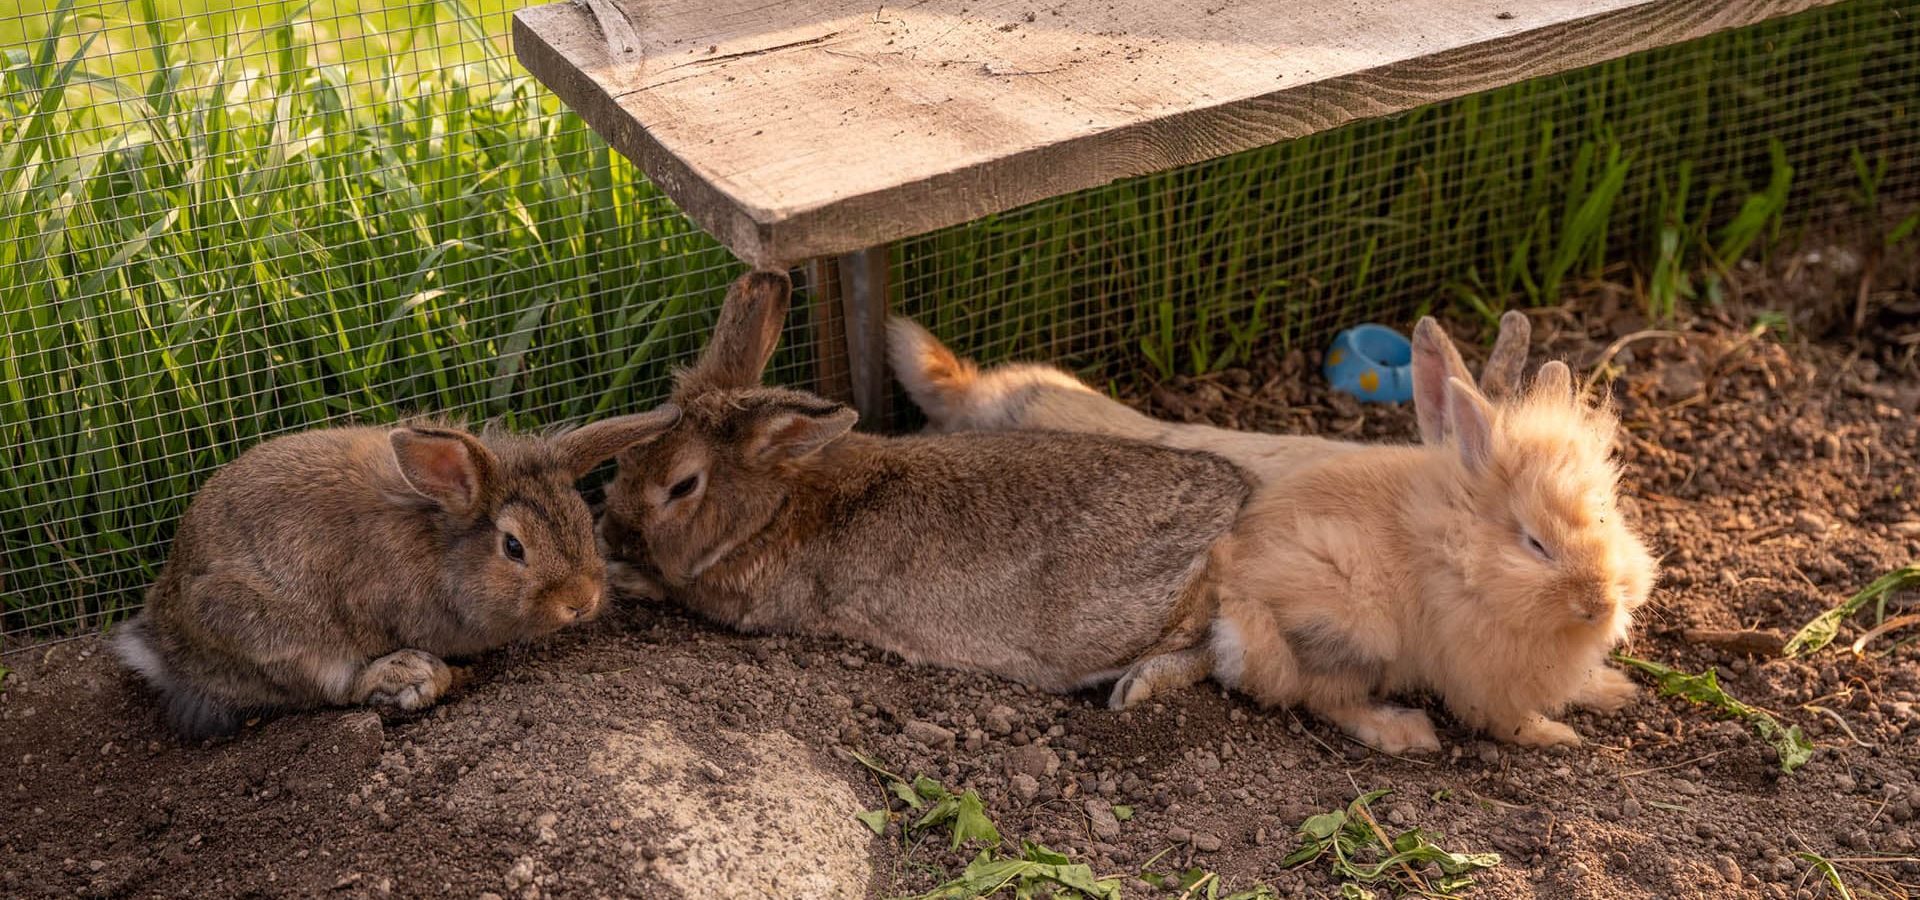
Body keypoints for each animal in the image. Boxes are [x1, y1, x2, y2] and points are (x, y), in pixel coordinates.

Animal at [112, 406, 683, 736]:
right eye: (514, 547)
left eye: (584, 520)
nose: (581, 600)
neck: (439, 546)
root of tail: (164, 647)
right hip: (269, 633)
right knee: (330, 689)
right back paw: (414, 676)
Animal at [602, 270, 1259, 698]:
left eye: (681, 486)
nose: (611, 530)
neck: (772, 509)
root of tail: (1233, 511)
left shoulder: (741, 606)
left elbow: (677, 592)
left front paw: (623, 576)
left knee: (1211, 646)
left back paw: (1136, 687)